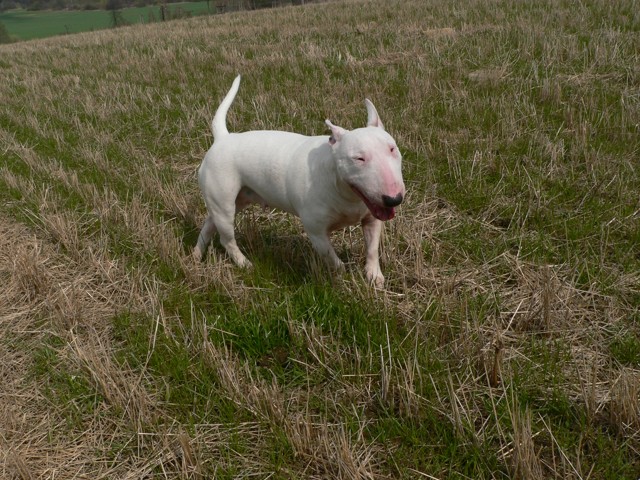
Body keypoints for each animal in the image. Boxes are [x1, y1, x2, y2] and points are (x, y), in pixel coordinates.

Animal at [194, 75, 405, 287]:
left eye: (392, 148)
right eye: (359, 158)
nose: (394, 199)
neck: (344, 190)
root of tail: (223, 138)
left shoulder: (372, 219)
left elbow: (372, 249)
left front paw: (374, 276)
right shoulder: (316, 232)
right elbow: (333, 260)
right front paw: (342, 278)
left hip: (238, 199)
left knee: (209, 223)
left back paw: (196, 255)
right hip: (224, 202)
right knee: (226, 239)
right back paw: (244, 263)